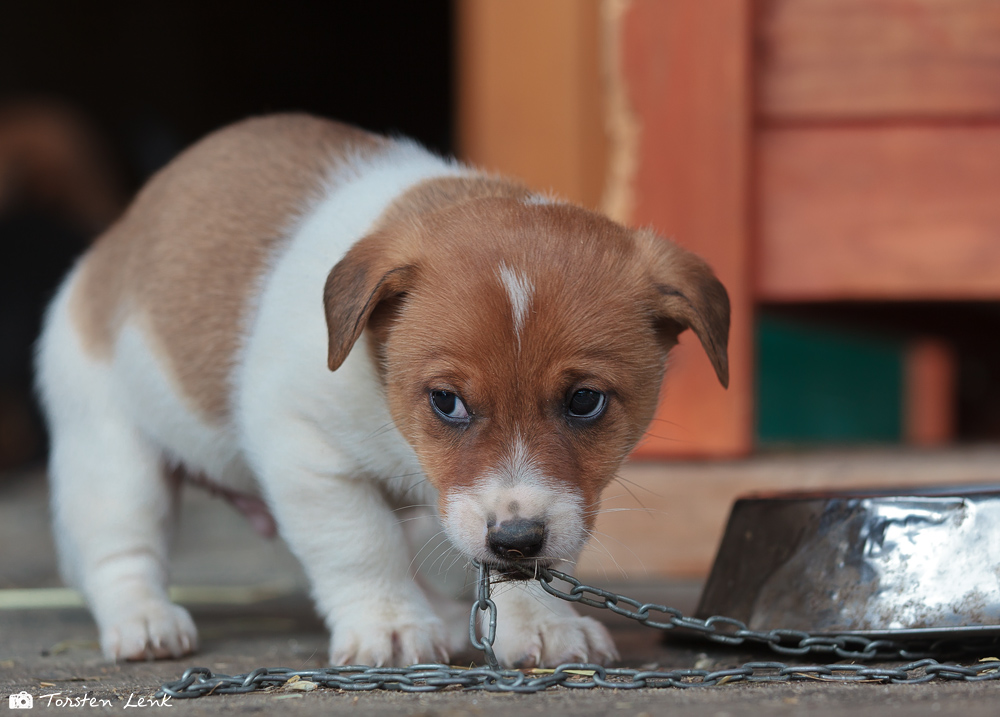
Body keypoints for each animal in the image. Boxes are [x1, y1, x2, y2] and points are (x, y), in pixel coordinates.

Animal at [35, 112, 732, 664]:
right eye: (447, 401)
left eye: (585, 401)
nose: (514, 538)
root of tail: (112, 244)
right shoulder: (311, 458)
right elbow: (361, 546)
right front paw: (390, 626)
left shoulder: (541, 508)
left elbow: (523, 572)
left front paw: (539, 622)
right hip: (113, 457)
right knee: (117, 552)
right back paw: (144, 620)